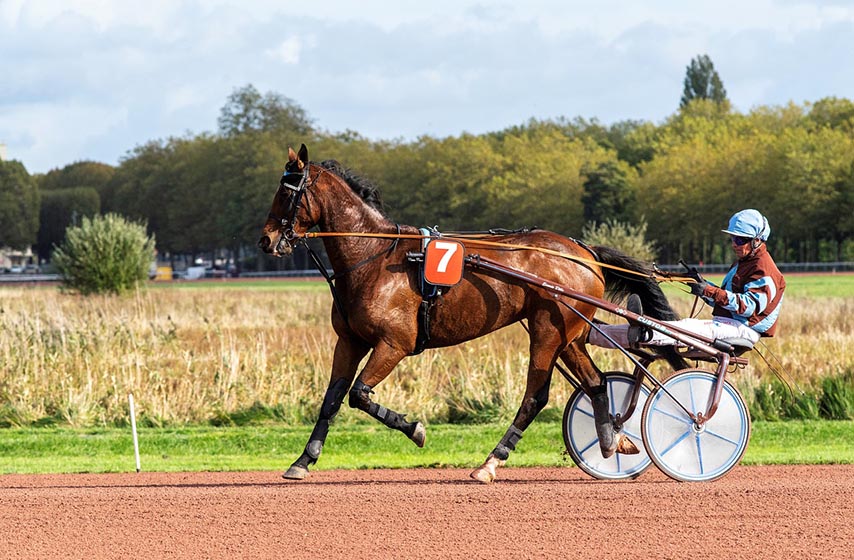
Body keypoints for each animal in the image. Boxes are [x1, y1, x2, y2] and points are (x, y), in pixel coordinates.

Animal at [254, 147, 684, 484]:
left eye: (287, 193)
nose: (266, 240)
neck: (373, 257)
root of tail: (585, 251)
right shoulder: (350, 341)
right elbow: (332, 399)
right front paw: (303, 460)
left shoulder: (394, 343)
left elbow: (359, 395)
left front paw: (416, 429)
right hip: (571, 334)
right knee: (595, 383)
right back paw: (614, 439)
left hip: (547, 332)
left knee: (535, 396)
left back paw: (491, 462)